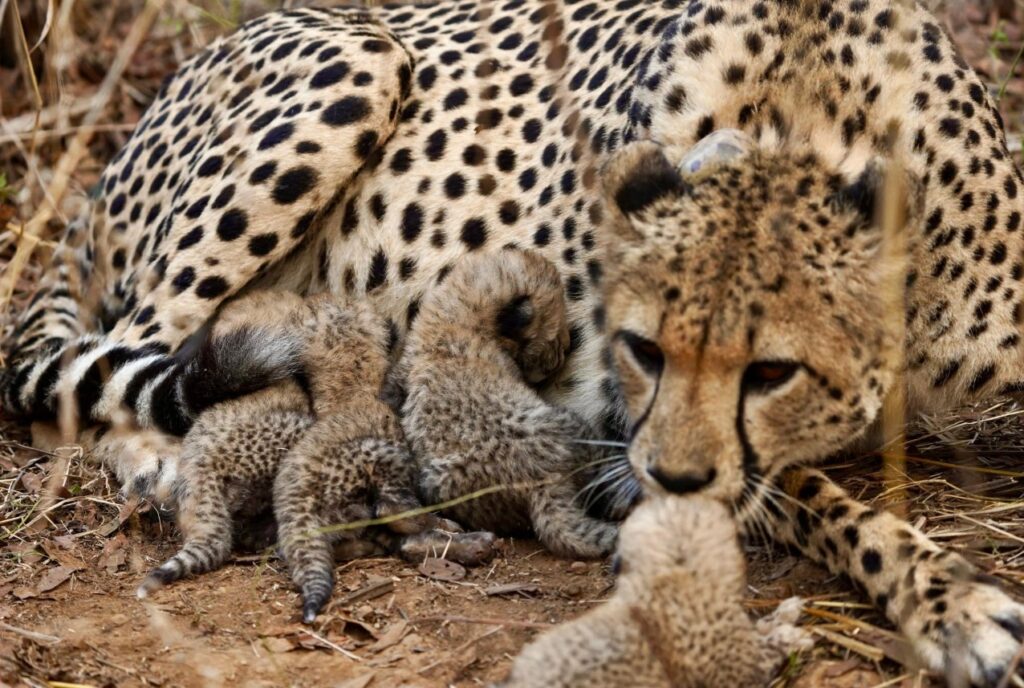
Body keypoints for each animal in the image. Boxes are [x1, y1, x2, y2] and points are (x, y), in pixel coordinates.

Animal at [396, 248, 619, 559]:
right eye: (558, 331)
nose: (563, 352)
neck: (457, 317)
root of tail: (543, 483)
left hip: (436, 482)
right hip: (571, 425)